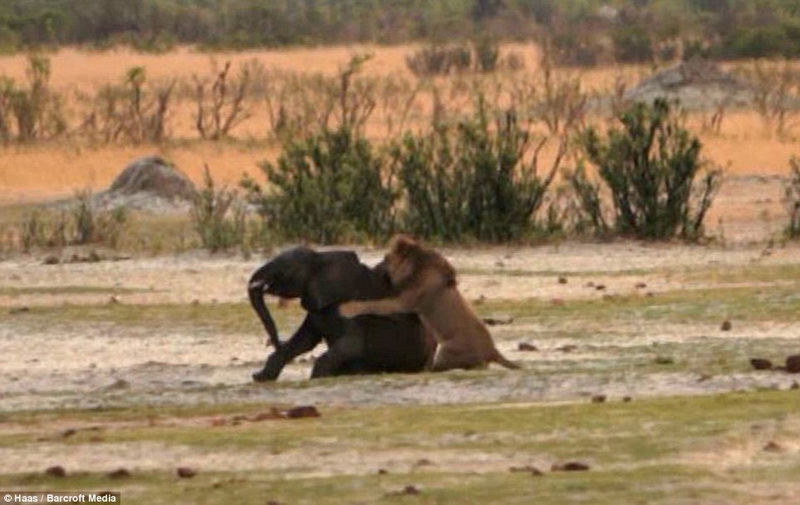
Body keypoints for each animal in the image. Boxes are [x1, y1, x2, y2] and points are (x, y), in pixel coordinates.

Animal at [339, 234, 519, 371]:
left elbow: (375, 304)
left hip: (446, 351)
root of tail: (493, 351)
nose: (373, 267)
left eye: (385, 258)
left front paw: (346, 308)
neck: (415, 266)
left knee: (472, 365)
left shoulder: (405, 302)